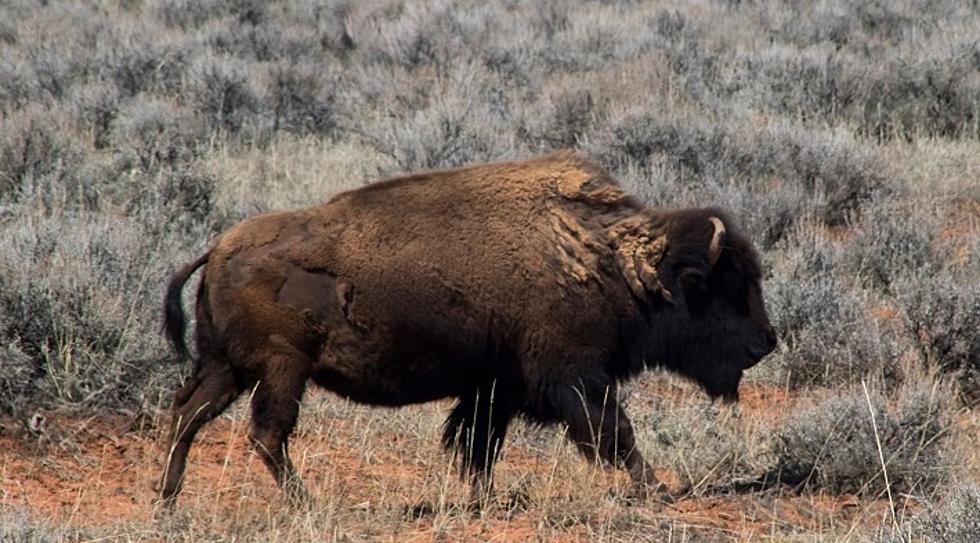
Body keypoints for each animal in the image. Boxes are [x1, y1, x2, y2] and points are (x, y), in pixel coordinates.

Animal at [157, 151, 776, 508]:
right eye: (723, 287)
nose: (766, 343)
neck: (609, 259)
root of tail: (218, 248)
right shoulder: (571, 377)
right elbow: (612, 432)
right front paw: (657, 490)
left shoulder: (495, 386)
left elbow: (479, 444)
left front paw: (482, 499)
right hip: (281, 368)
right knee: (267, 432)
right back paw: (304, 503)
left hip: (228, 368)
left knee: (189, 414)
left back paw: (166, 498)